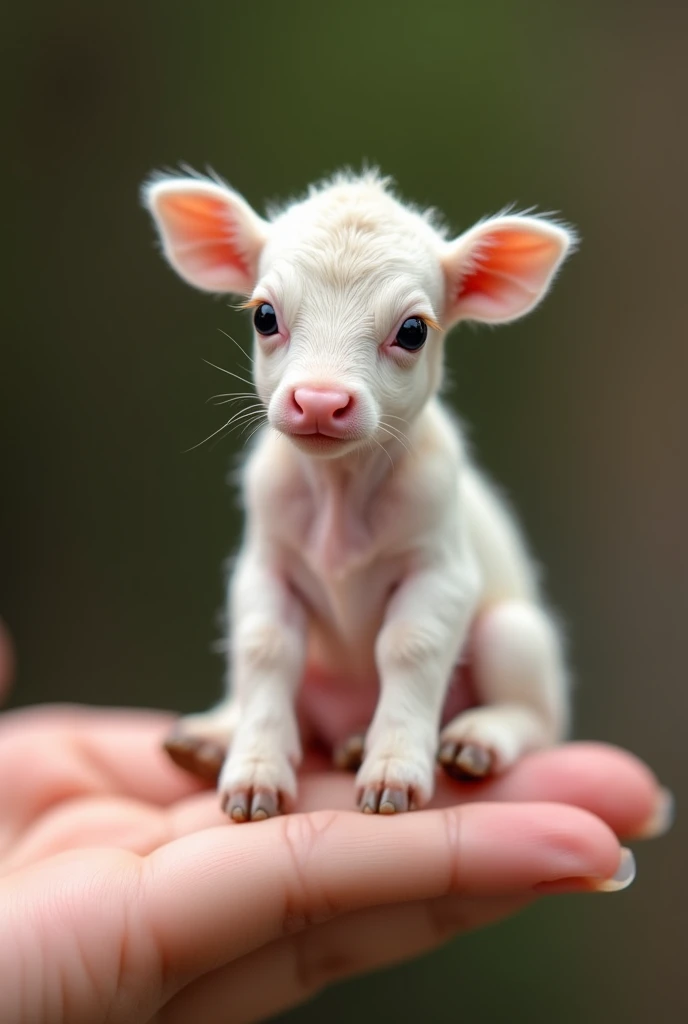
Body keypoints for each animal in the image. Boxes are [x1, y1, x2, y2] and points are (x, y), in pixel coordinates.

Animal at [143, 169, 573, 823]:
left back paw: (476, 739)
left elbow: (410, 646)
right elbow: (265, 648)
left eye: (413, 331)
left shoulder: (442, 570)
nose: (320, 400)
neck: (340, 496)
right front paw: (253, 773)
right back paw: (218, 736)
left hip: (515, 632)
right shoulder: (263, 565)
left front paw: (394, 771)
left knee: (538, 715)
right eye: (264, 316)